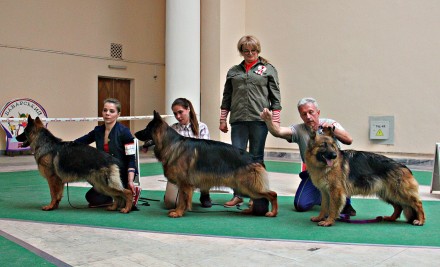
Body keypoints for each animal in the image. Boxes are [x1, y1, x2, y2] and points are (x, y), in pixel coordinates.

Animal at [135, 111, 278, 218]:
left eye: (147, 129)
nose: (135, 133)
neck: (170, 144)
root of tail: (254, 158)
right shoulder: (183, 184)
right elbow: (181, 199)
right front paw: (179, 211)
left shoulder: (184, 184)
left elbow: (182, 200)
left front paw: (179, 212)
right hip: (245, 187)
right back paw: (250, 210)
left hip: (248, 186)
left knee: (273, 194)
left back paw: (273, 213)